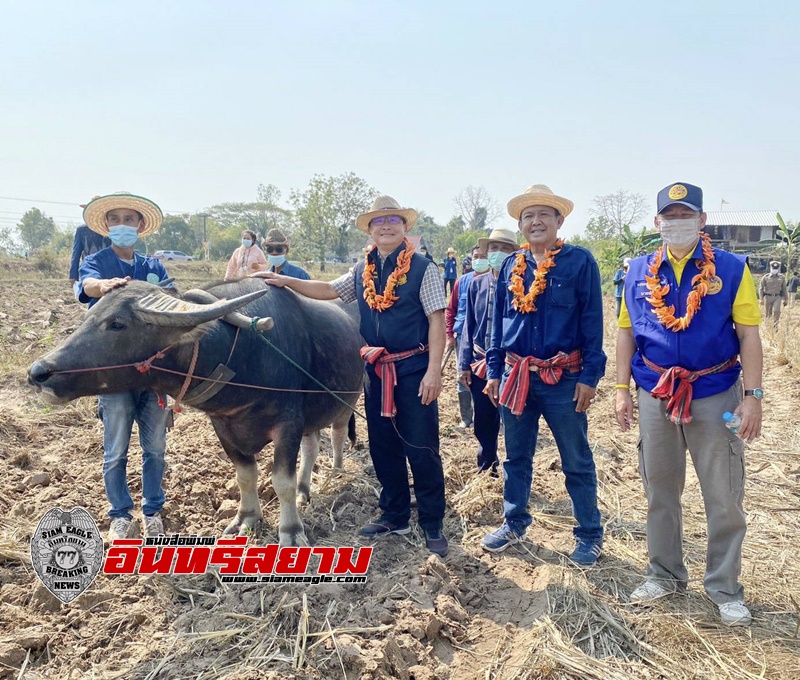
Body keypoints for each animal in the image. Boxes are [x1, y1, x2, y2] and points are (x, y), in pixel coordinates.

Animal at [28, 278, 364, 544]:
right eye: (90, 315)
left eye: (118, 324)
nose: (38, 372)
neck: (246, 353)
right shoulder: (223, 426)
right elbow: (245, 476)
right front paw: (246, 518)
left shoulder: (288, 422)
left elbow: (282, 482)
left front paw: (291, 532)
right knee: (311, 446)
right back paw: (305, 489)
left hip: (348, 401)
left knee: (336, 435)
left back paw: (336, 471)